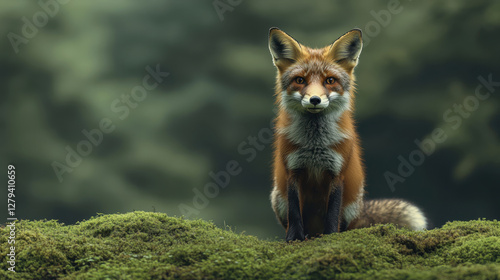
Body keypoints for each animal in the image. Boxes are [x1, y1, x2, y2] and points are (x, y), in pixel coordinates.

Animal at [268, 27, 428, 241]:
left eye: (330, 80)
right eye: (300, 80)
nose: (315, 99)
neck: (315, 145)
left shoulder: (337, 173)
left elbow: (332, 213)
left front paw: (330, 237)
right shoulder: (292, 171)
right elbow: (295, 211)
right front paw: (294, 238)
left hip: (352, 204)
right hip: (278, 197)